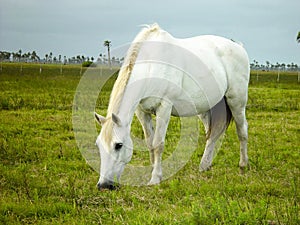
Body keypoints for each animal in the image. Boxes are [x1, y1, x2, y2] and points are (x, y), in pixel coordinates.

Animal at [95, 23, 250, 190]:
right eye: (98, 145)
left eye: (118, 145)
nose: (104, 185)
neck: (152, 66)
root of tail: (238, 46)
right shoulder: (141, 111)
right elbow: (150, 143)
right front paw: (152, 171)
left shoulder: (164, 107)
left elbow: (158, 144)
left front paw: (155, 178)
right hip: (207, 108)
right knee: (212, 134)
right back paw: (204, 165)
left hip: (236, 101)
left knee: (242, 131)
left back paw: (243, 165)